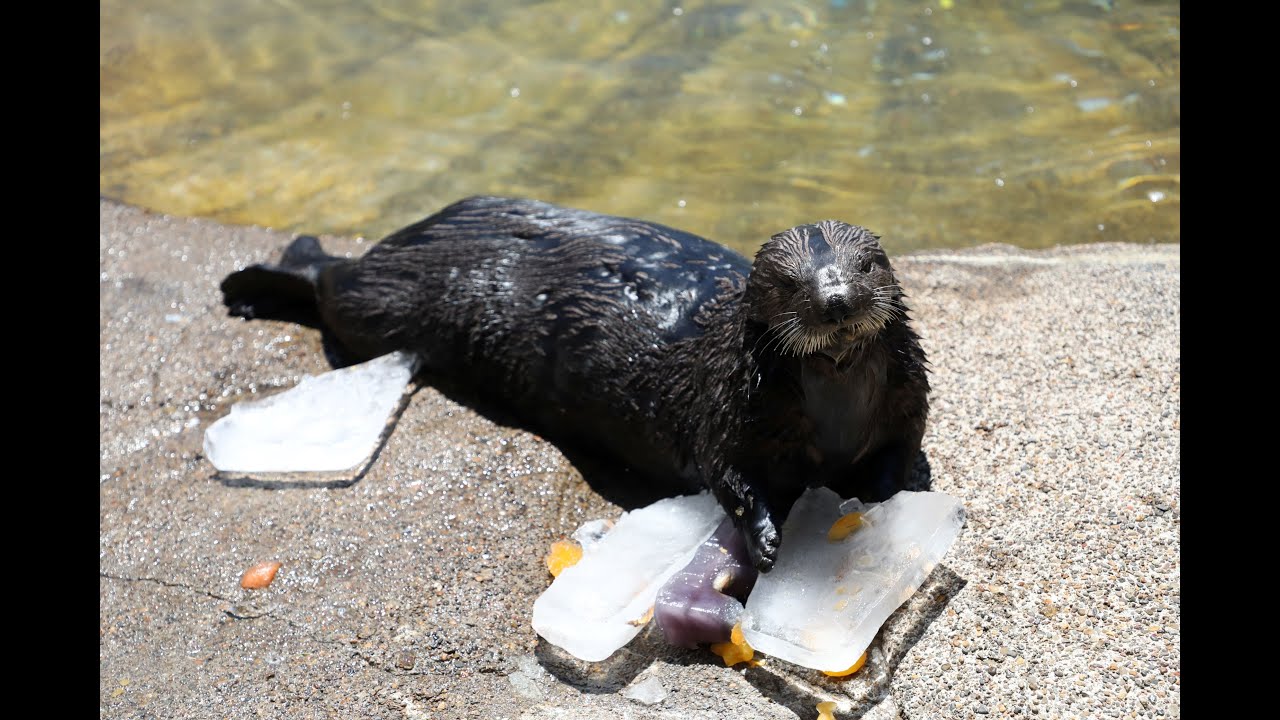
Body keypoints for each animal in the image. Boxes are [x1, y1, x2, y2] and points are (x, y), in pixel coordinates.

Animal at [220, 196, 929, 571]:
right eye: (787, 283)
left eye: (867, 266)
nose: (835, 299)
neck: (834, 413)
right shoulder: (726, 409)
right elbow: (730, 478)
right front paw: (767, 543)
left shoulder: (904, 403)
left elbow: (900, 454)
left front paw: (889, 495)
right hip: (385, 304)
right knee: (331, 278)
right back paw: (251, 285)